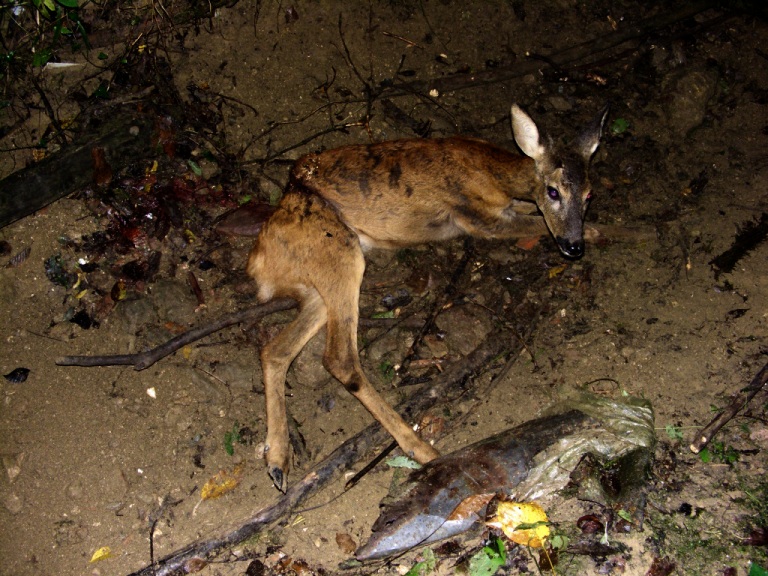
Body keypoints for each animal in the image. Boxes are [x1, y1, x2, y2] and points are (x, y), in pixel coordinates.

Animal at [249, 104, 608, 490]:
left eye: (590, 194)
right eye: (553, 191)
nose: (573, 246)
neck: (493, 173)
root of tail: (258, 260)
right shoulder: (480, 219)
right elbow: (540, 223)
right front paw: (612, 231)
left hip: (327, 275)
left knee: (275, 349)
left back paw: (278, 460)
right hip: (339, 252)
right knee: (339, 358)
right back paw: (422, 449)